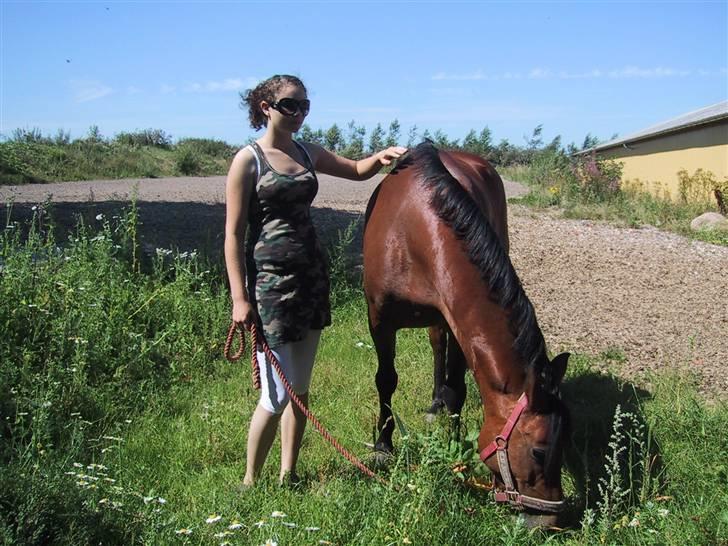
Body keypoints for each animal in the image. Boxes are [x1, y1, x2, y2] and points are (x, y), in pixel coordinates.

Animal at [362, 141, 572, 528]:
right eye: (539, 450)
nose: (550, 520)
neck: (411, 228)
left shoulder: (459, 321)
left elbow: (457, 388)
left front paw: (455, 444)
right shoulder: (379, 320)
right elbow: (386, 379)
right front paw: (383, 445)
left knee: (439, 349)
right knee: (434, 347)